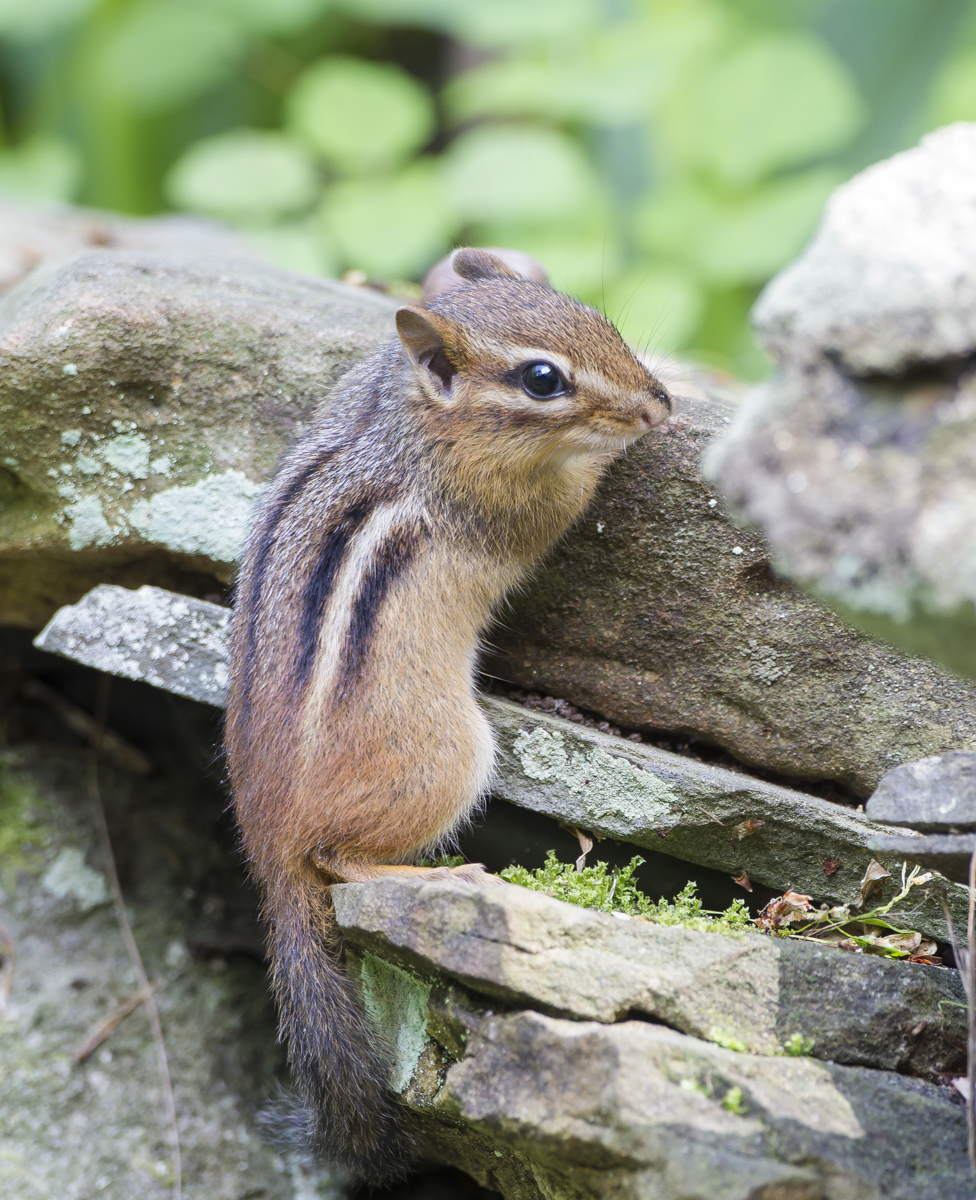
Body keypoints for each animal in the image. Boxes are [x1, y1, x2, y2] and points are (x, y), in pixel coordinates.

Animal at [224, 248, 673, 1183]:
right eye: (542, 379)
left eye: (601, 319)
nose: (659, 403)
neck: (410, 419)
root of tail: (266, 846)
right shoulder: (507, 511)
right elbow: (563, 503)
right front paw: (614, 449)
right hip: (450, 759)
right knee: (339, 864)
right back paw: (445, 877)